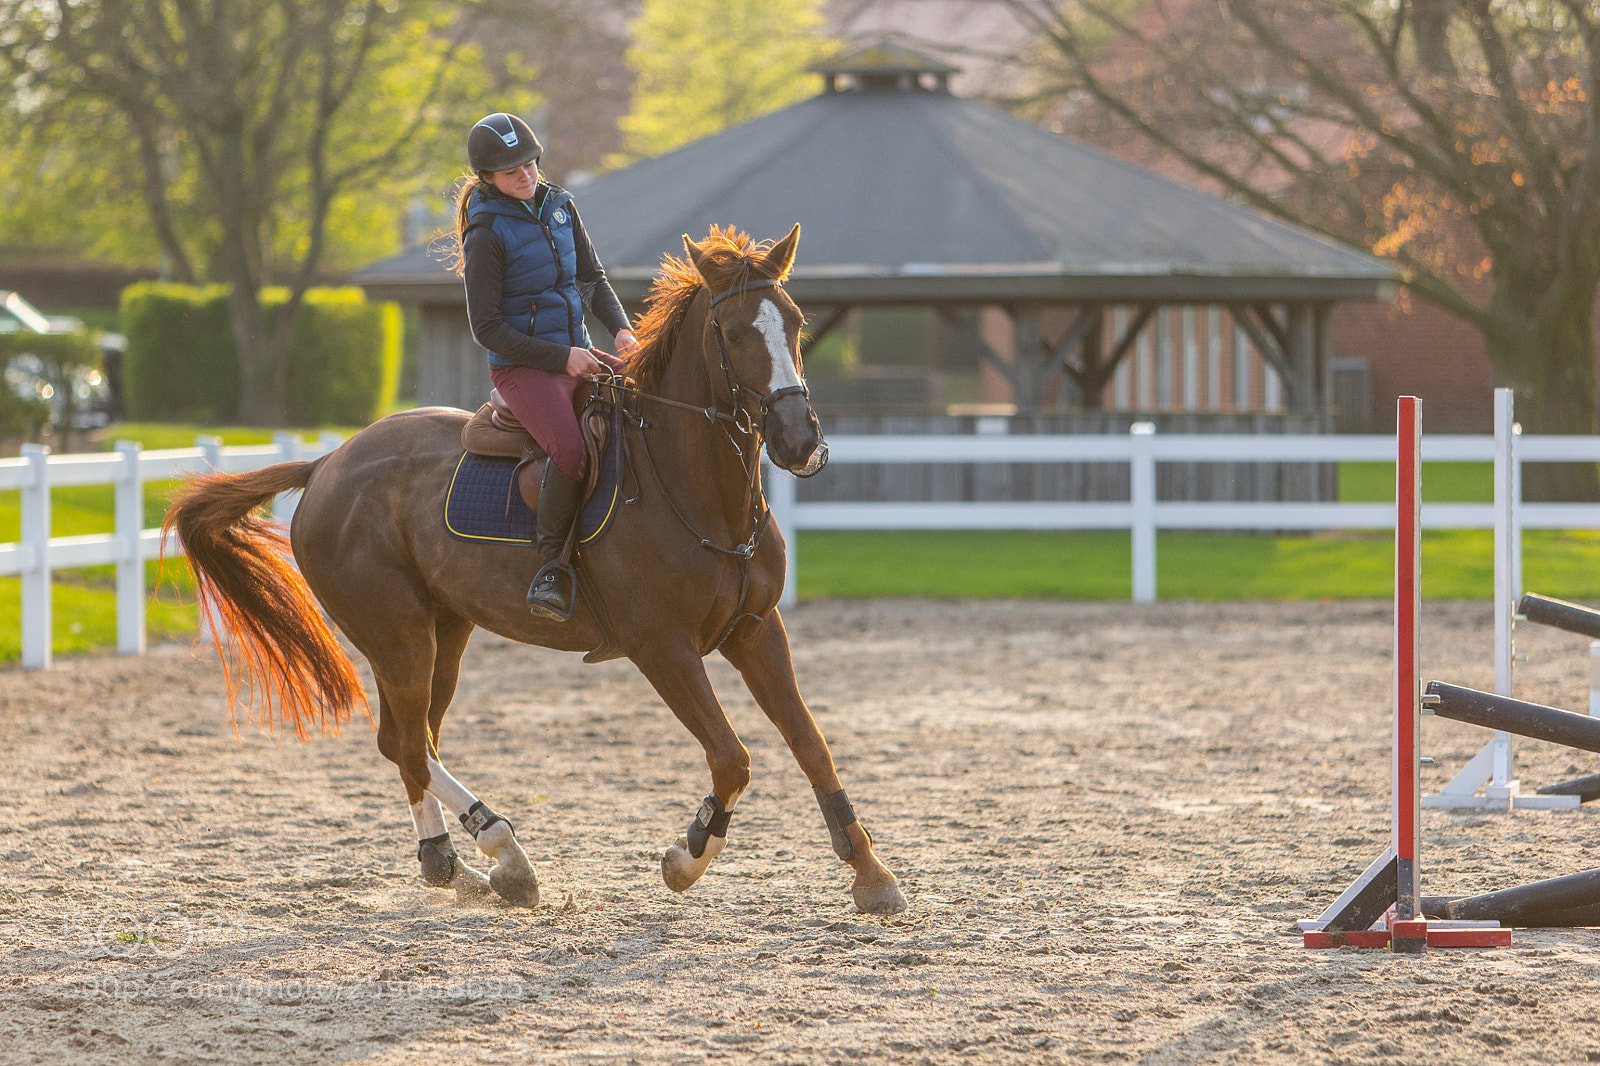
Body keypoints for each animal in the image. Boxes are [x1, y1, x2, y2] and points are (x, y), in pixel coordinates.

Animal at [164, 224, 907, 915]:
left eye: (796, 322)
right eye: (729, 331)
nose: (800, 442)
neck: (698, 487)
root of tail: (327, 465)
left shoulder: (756, 630)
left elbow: (811, 743)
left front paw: (870, 873)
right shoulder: (661, 647)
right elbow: (732, 757)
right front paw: (687, 855)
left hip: (445, 632)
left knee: (411, 741)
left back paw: (452, 865)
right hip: (397, 635)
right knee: (407, 744)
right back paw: (503, 852)